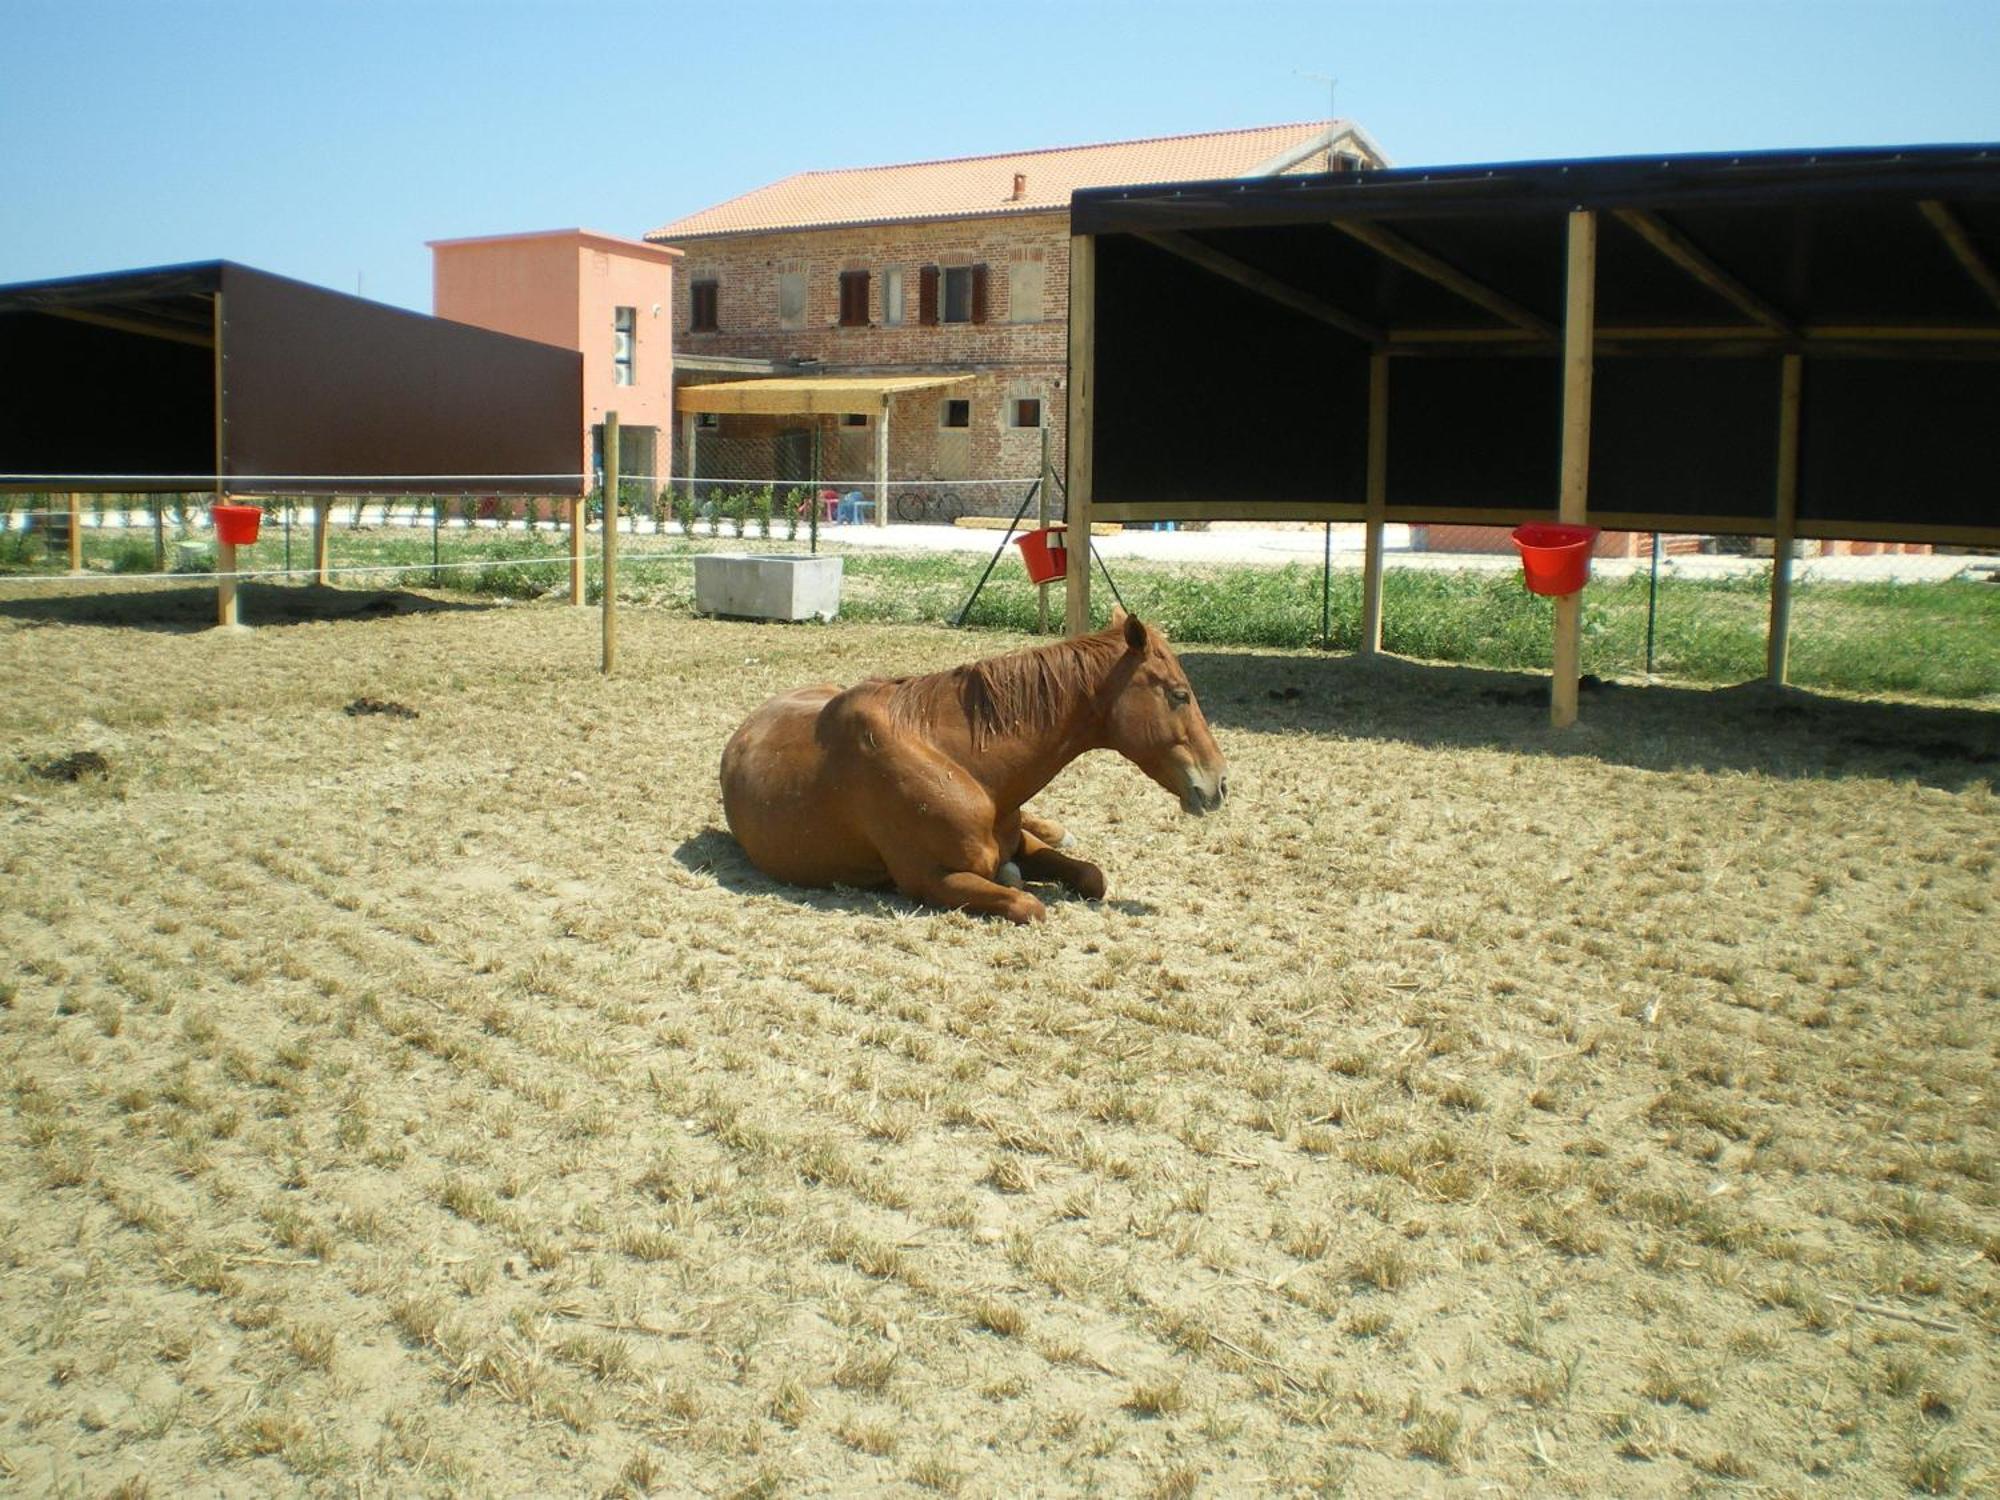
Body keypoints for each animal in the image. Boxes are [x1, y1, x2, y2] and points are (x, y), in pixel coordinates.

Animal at [716, 612, 1216, 924]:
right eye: (1179, 694)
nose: (1219, 783)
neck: (961, 765)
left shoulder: (1019, 842)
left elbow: (1091, 876)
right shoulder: (933, 880)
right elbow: (1029, 905)